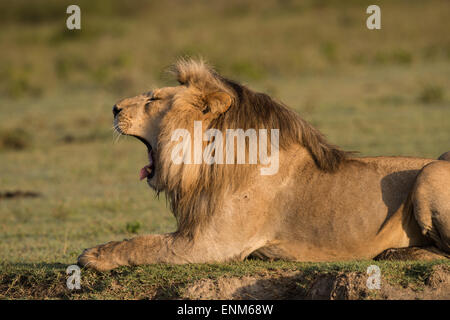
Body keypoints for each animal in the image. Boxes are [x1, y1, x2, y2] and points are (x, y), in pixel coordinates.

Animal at [78, 58, 450, 270]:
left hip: (431, 171)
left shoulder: (210, 244)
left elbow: (143, 243)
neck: (207, 164)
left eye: (153, 99)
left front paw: (93, 255)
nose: (113, 107)